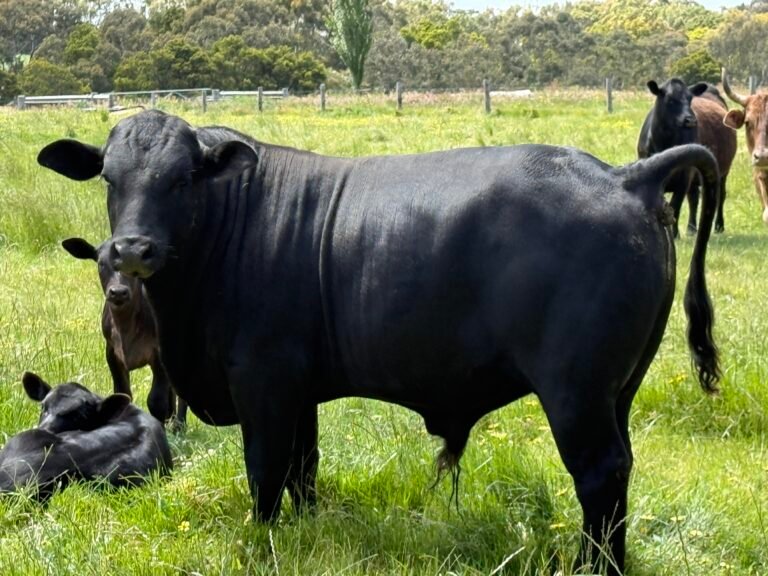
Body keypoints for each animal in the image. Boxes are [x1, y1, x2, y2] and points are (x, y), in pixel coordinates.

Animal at [61, 237, 187, 430]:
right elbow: (123, 394)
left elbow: (156, 400)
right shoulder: (112, 353)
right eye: (101, 263)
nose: (118, 292)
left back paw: (179, 425)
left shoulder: (158, 353)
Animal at [638, 78, 737, 236]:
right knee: (694, 198)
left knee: (720, 196)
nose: (690, 120)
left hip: (722, 172)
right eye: (670, 100)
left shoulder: (684, 176)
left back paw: (719, 226)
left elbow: (675, 205)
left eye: (690, 99)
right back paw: (691, 228)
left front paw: (675, 234)